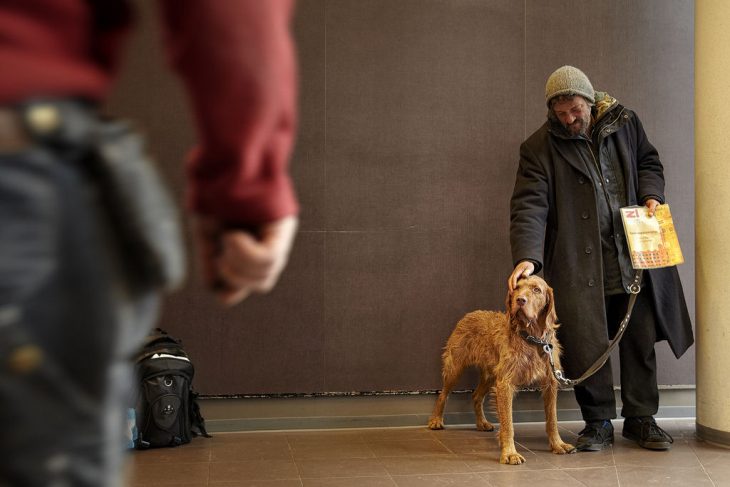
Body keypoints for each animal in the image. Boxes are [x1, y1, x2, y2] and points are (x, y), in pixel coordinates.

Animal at [426, 274, 576, 466]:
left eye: (537, 290)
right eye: (517, 287)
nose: (520, 300)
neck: (532, 338)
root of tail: (470, 314)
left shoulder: (550, 383)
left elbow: (553, 419)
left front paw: (558, 444)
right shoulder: (505, 383)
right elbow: (508, 424)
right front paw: (510, 453)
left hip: (490, 375)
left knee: (476, 396)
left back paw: (482, 423)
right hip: (455, 368)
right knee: (443, 394)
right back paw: (436, 420)